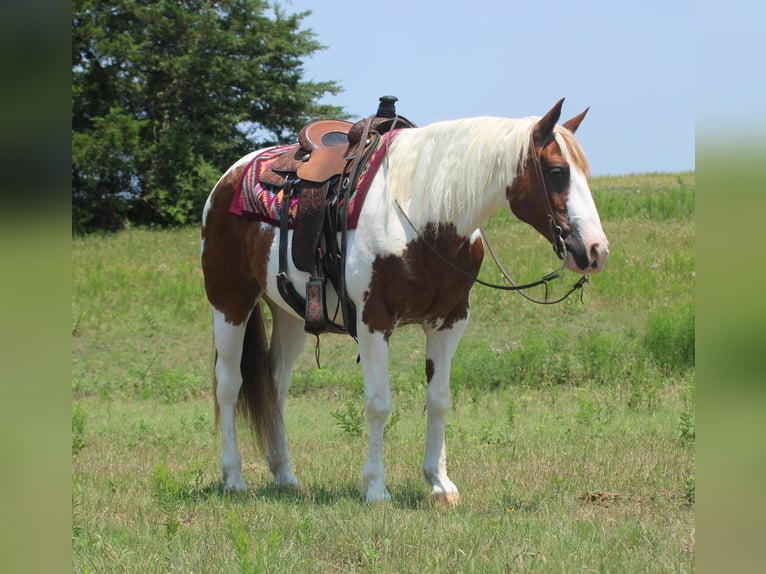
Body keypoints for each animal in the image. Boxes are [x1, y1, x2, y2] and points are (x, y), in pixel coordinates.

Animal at [202, 101, 612, 506]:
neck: (424, 214)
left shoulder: (450, 321)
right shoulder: (373, 321)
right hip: (229, 302)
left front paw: (440, 483)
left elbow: (439, 399)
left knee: (276, 387)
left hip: (290, 316)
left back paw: (285, 476)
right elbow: (379, 403)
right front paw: (375, 488)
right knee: (229, 384)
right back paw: (234, 478)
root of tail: (228, 179)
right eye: (557, 172)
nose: (595, 251)